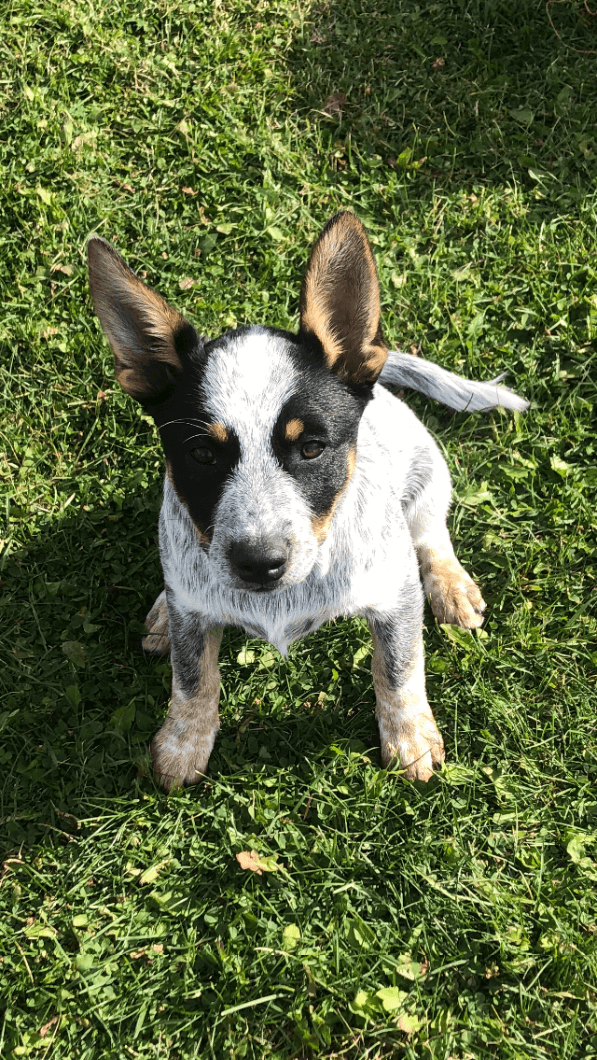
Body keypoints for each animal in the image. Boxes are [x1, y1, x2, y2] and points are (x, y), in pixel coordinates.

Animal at [88, 213, 528, 788]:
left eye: (313, 447)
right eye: (201, 454)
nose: (259, 563)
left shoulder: (394, 595)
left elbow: (399, 668)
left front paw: (409, 736)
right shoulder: (195, 614)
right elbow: (192, 678)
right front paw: (183, 743)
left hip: (428, 473)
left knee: (431, 534)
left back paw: (452, 588)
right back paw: (164, 609)